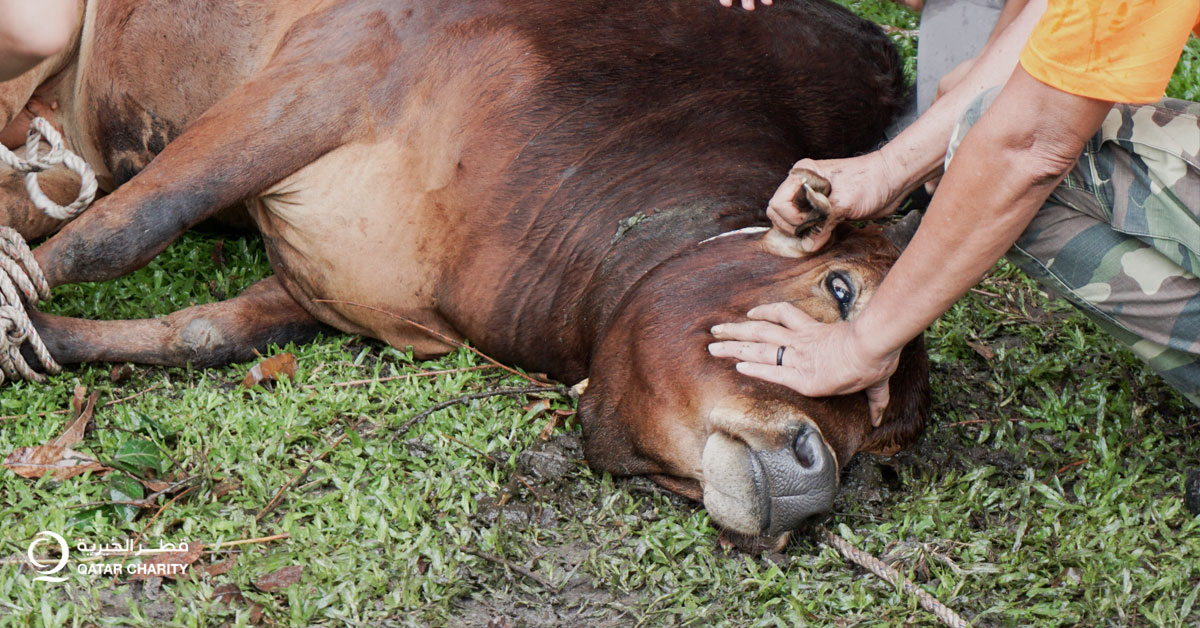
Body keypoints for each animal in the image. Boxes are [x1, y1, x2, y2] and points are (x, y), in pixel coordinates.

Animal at [2, 0, 926, 545]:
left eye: (882, 436)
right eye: (839, 289)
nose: (814, 480)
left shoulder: (321, 286)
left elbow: (193, 331)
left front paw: (36, 337)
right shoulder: (329, 70)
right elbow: (124, 231)